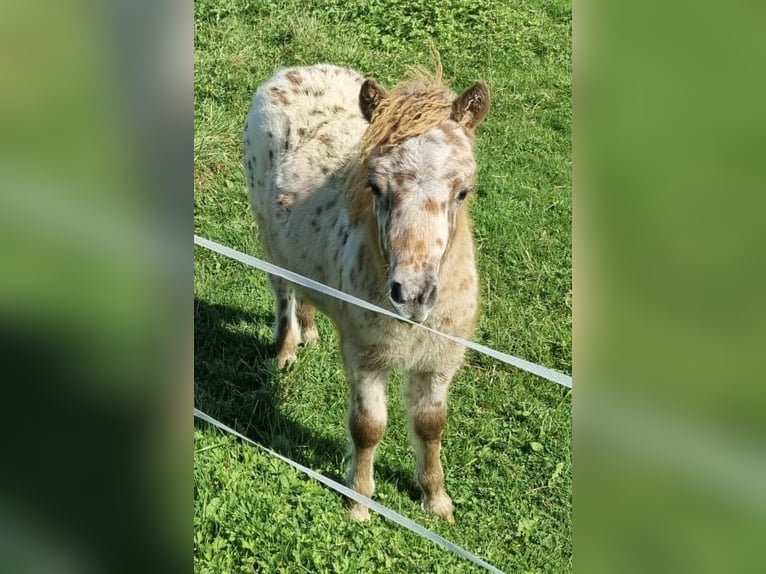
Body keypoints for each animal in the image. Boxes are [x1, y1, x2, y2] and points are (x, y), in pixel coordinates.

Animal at [246, 65, 492, 524]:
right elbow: (368, 427)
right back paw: (286, 350)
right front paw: (359, 502)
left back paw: (310, 332)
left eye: (463, 190)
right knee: (283, 289)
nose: (411, 293)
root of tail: (291, 72)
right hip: (268, 234)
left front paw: (437, 501)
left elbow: (431, 425)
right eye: (375, 187)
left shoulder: (439, 361)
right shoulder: (365, 357)